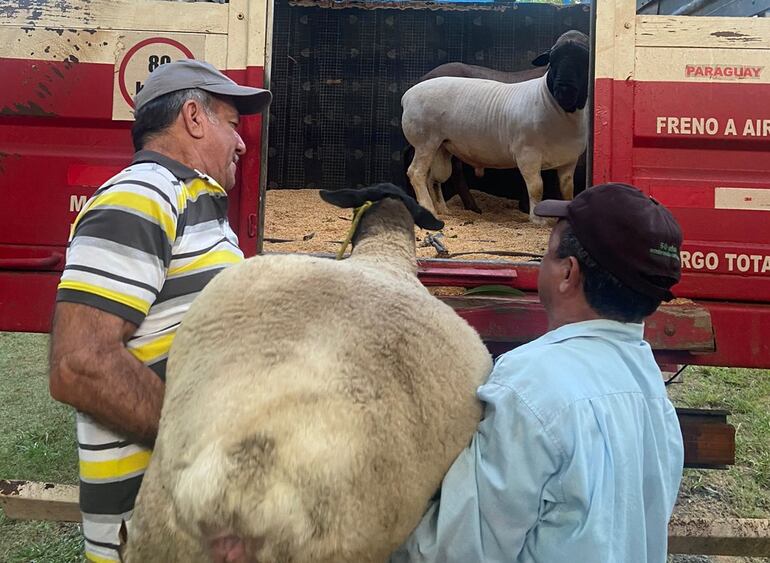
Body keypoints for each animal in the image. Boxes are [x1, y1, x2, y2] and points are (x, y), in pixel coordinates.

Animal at [402, 30, 588, 224]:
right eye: (552, 59)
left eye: (585, 59)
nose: (564, 90)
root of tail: (408, 95)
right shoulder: (527, 155)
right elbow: (537, 187)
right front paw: (537, 219)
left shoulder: (569, 160)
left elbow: (568, 189)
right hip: (424, 141)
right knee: (416, 172)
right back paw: (430, 207)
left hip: (441, 146)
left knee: (434, 177)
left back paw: (443, 210)